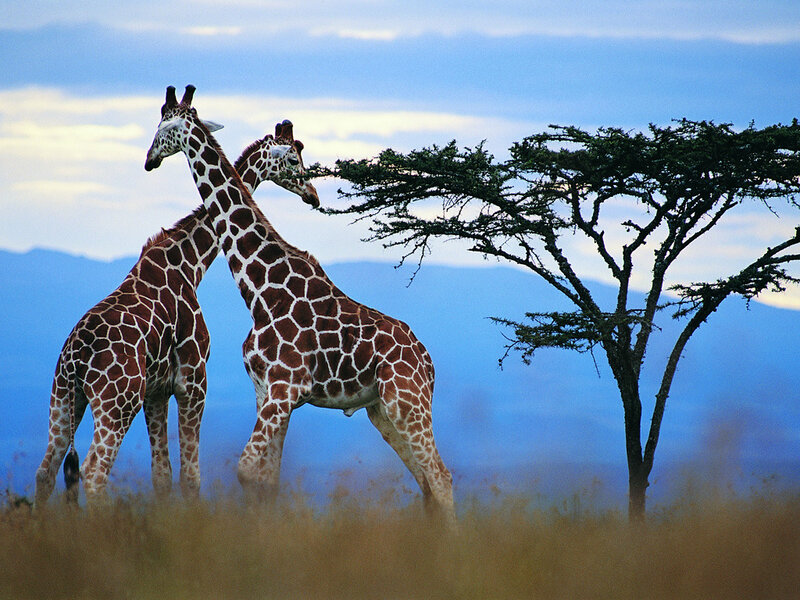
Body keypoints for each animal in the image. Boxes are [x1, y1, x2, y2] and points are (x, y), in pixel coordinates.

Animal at [33, 117, 318, 508]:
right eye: (294, 158)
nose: (313, 195)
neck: (189, 264)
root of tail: (76, 356)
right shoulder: (193, 379)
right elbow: (191, 476)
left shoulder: (156, 390)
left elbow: (162, 476)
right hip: (116, 401)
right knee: (93, 472)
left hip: (64, 396)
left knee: (46, 470)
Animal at [145, 86, 455, 523]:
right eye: (294, 157)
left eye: (164, 128)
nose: (149, 159)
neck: (261, 291)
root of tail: (428, 363)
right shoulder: (267, 392)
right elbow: (266, 478)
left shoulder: (285, 388)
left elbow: (247, 471)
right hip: (382, 410)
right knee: (427, 482)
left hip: (406, 400)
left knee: (441, 478)